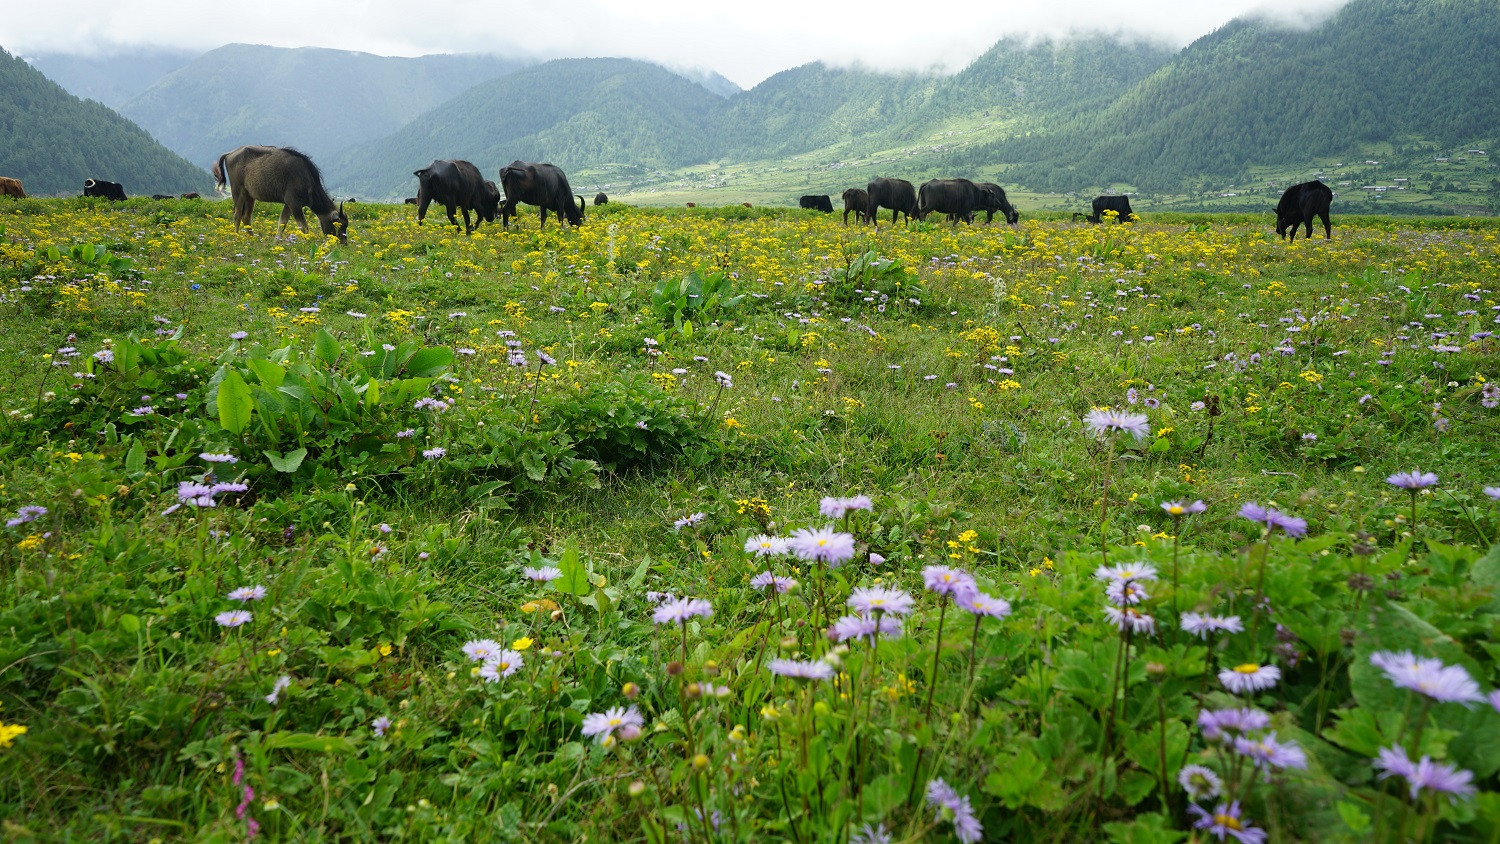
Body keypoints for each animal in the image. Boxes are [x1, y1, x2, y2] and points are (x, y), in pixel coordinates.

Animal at [214, 145, 348, 242]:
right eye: (339, 225)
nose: (343, 243)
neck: (307, 178)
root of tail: (230, 153)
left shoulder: (288, 204)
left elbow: (282, 223)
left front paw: (277, 241)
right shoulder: (294, 204)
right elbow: (303, 227)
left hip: (250, 195)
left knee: (246, 217)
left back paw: (252, 238)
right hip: (237, 190)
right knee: (237, 215)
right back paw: (236, 237)